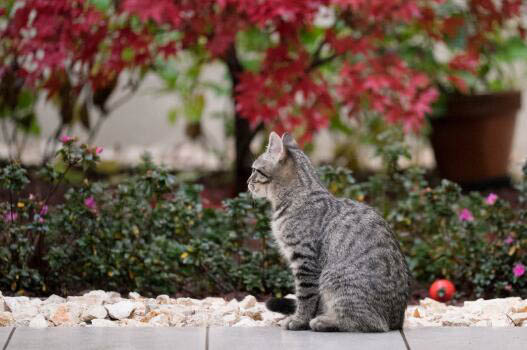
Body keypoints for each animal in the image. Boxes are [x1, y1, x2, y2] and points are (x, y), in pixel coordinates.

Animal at [248, 133, 412, 332]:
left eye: (255, 170)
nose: (247, 182)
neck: (297, 196)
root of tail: (397, 321)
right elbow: (313, 300)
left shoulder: (305, 260)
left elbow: (305, 296)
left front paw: (299, 320)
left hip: (332, 276)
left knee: (370, 323)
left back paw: (325, 322)